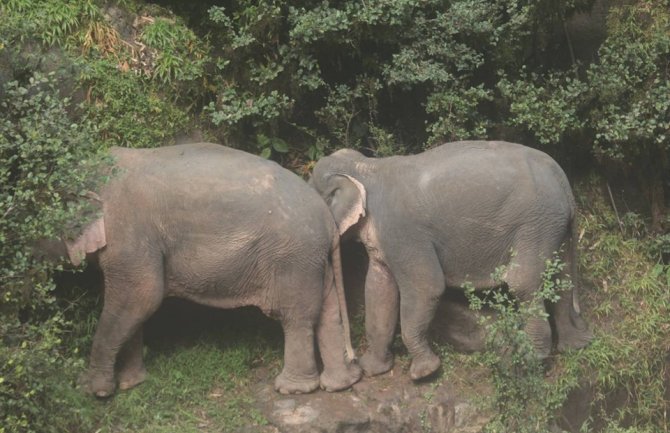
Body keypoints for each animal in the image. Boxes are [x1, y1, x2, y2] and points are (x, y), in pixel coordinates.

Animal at [58, 141, 362, 394]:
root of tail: (327, 217)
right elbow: (136, 305)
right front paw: (130, 383)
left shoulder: (128, 232)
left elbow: (140, 296)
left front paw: (91, 389)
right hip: (313, 259)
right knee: (328, 312)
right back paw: (339, 384)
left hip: (293, 258)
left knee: (296, 317)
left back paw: (293, 390)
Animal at [310, 141, 592, 378]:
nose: (352, 359)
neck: (366, 166)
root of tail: (563, 180)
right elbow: (379, 291)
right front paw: (373, 369)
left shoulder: (404, 232)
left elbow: (427, 287)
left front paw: (424, 372)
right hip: (554, 226)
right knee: (562, 279)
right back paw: (574, 345)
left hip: (535, 224)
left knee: (524, 284)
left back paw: (529, 361)